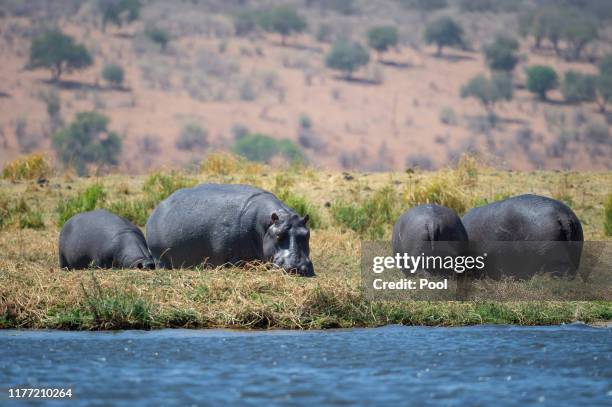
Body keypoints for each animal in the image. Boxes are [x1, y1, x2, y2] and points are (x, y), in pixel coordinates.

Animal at [145, 185, 316, 278]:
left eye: (306, 234)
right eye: (278, 234)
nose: (299, 267)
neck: (267, 224)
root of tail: (157, 208)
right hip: (160, 258)